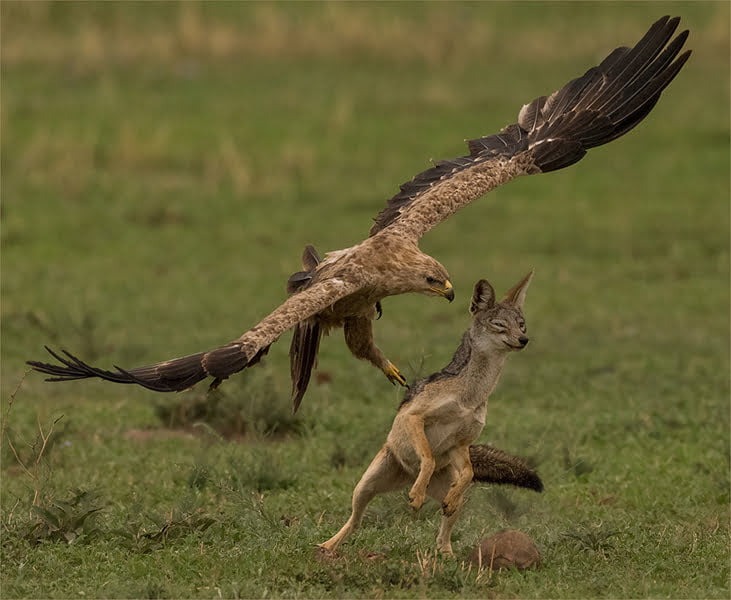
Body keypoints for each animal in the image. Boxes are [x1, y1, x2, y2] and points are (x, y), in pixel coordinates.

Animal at [319, 271, 541, 556]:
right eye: (500, 325)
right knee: (355, 522)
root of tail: (406, 477)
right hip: (364, 488)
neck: (471, 394)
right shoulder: (413, 418)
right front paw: (416, 496)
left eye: (521, 325)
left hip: (453, 497)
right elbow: (428, 457)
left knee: (444, 530)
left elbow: (468, 473)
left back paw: (447, 552)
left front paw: (438, 496)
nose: (524, 340)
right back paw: (328, 546)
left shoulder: (460, 445)